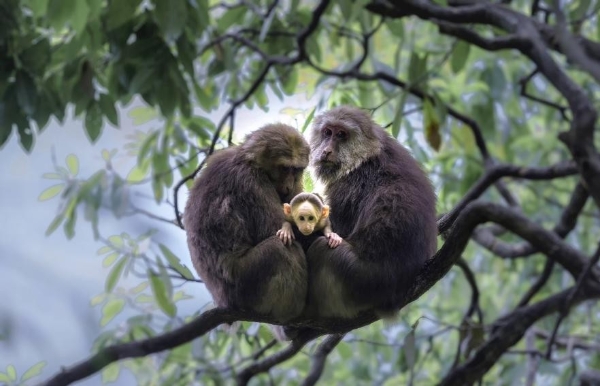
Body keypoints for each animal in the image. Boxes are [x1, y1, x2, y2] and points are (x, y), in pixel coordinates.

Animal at [184, 123, 310, 322]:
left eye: (296, 170)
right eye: (284, 168)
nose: (288, 185)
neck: (249, 161)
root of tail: (224, 300)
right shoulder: (250, 182)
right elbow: (279, 230)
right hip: (245, 285)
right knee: (281, 249)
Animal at [304, 106, 436, 320]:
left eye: (341, 135)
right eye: (327, 132)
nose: (326, 150)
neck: (363, 159)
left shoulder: (348, 187)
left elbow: (333, 230)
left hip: (360, 280)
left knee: (323, 249)